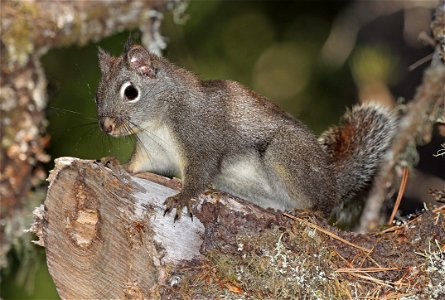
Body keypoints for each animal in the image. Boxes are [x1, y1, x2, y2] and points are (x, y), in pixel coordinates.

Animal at [94, 39, 396, 220]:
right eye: (97, 95)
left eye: (131, 92)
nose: (105, 126)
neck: (156, 125)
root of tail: (332, 182)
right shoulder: (152, 151)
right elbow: (139, 164)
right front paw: (116, 164)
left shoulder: (200, 138)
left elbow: (199, 173)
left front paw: (182, 198)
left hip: (285, 153)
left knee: (323, 204)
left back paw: (313, 211)